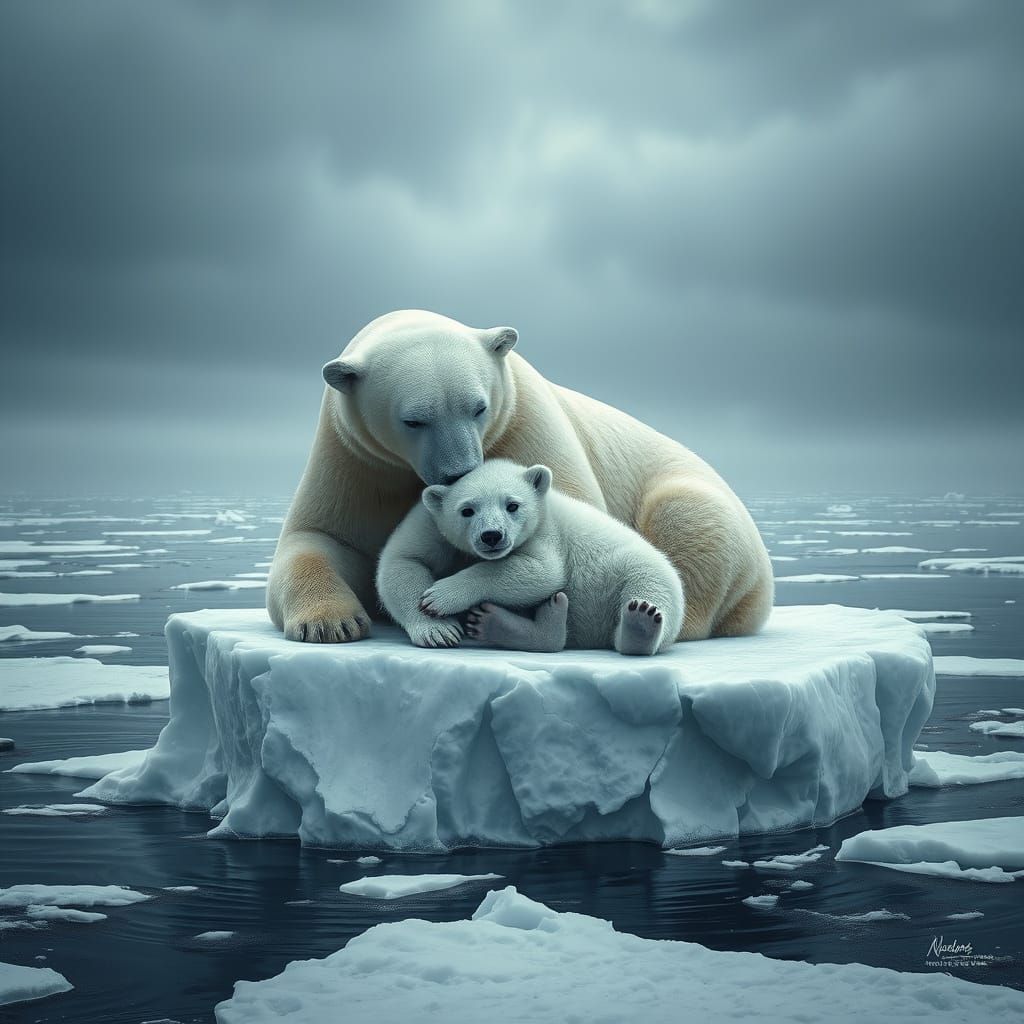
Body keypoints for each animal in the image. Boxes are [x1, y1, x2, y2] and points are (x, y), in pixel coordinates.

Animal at [376, 459, 685, 654]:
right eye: (467, 510)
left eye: (512, 505)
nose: (492, 536)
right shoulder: (431, 524)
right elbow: (403, 561)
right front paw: (438, 631)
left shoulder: (544, 530)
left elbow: (541, 570)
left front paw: (441, 597)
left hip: (644, 571)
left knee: (650, 588)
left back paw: (640, 623)